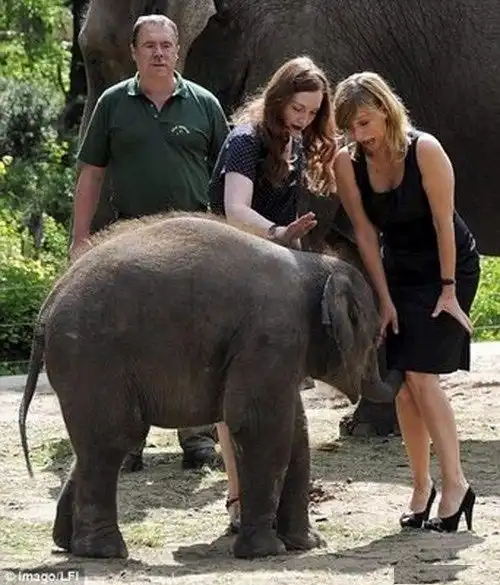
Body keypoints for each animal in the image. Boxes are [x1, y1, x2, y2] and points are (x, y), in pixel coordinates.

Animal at [19, 213, 392, 560]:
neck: (313, 265)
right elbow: (258, 425)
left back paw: (68, 544)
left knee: (93, 444)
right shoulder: (272, 335)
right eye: (376, 337)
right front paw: (265, 552)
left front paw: (307, 545)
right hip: (92, 357)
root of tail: (47, 307)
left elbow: (296, 432)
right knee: (115, 438)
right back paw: (106, 552)